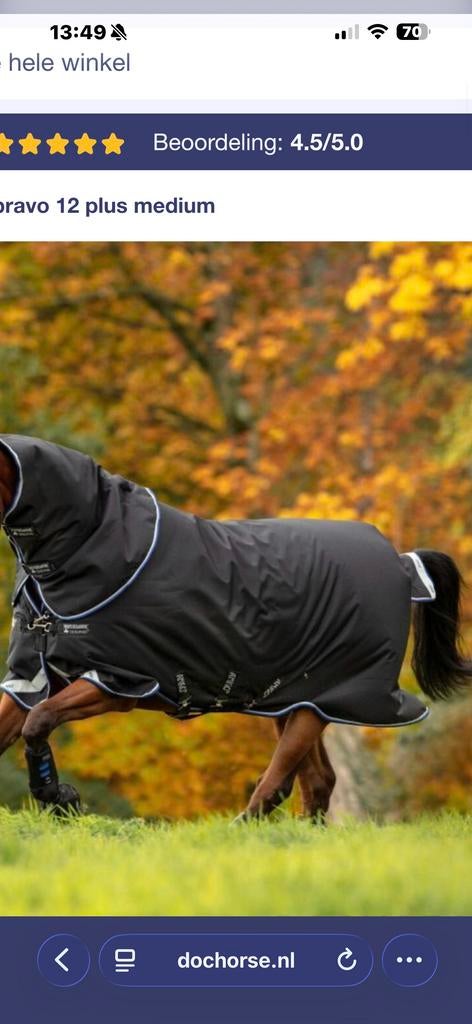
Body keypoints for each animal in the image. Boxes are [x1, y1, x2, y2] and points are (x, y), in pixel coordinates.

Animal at [0, 435, 470, 821]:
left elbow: (39, 721)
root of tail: (403, 564)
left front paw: (60, 798)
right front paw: (59, 799)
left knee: (278, 784)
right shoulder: (33, 677)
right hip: (296, 701)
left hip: (325, 698)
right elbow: (21, 716)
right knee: (317, 783)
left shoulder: (119, 683)